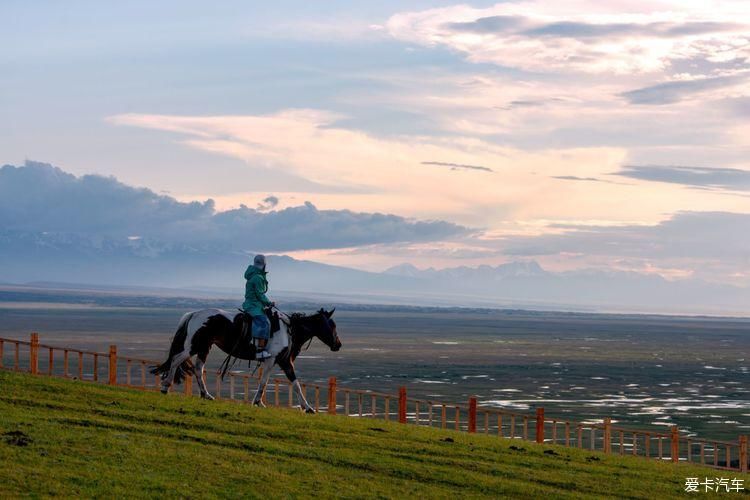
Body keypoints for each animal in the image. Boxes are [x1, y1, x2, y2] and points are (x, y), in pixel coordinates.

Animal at [153, 306, 340, 412]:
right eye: (332, 326)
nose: (338, 345)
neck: (290, 330)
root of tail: (194, 314)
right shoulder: (275, 360)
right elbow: (271, 382)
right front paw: (307, 408)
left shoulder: (283, 361)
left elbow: (292, 383)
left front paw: (306, 407)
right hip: (194, 346)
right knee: (176, 360)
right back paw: (165, 387)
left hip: (204, 348)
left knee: (198, 369)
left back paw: (206, 395)